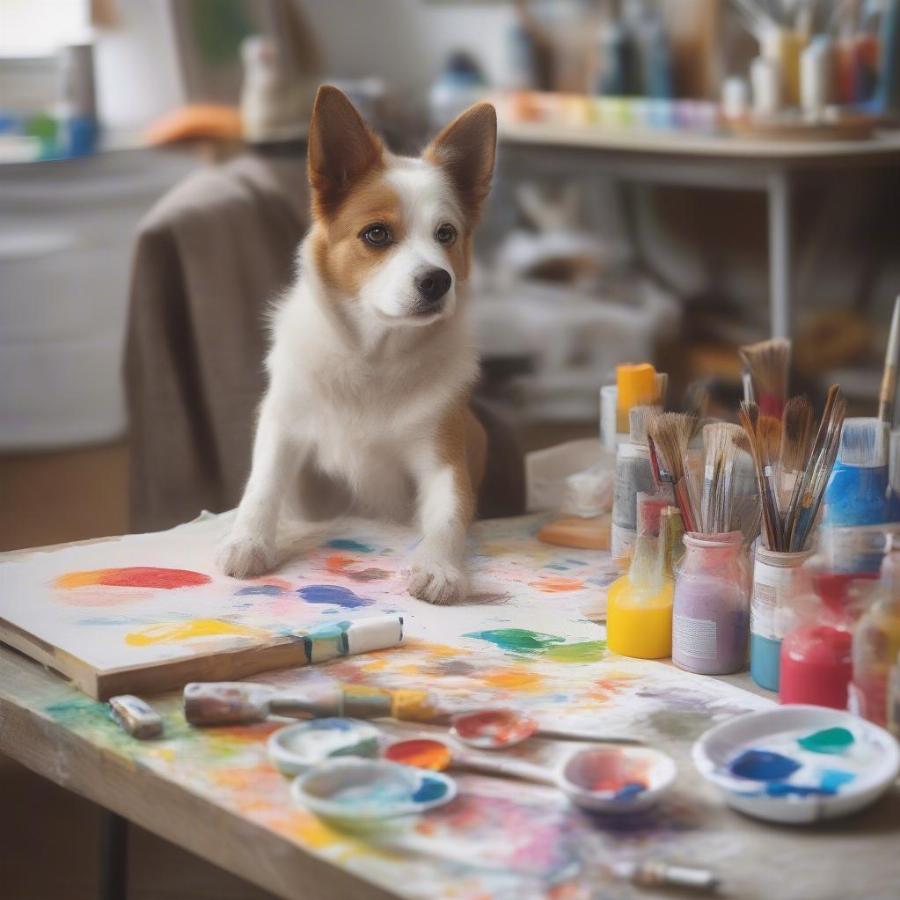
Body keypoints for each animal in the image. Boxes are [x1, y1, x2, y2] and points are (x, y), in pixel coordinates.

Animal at [219, 86, 500, 604]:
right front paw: (247, 540)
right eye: (377, 233)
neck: (375, 358)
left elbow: (449, 512)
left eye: (446, 234)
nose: (438, 281)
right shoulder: (283, 425)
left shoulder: (444, 456)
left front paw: (440, 567)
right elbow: (262, 485)